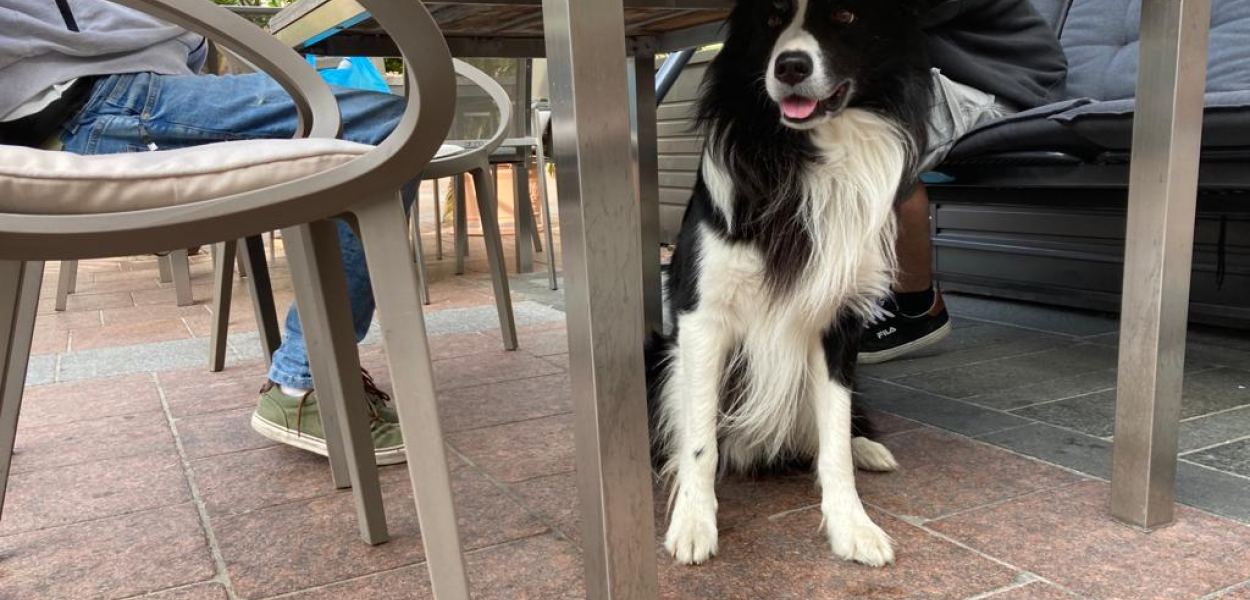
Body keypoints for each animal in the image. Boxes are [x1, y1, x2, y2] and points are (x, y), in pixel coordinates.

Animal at [650, 0, 935, 567]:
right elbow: (699, 439)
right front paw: (693, 521)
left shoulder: (840, 325)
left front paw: (852, 525)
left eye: (845, 16)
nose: (791, 67)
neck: (799, 157)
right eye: (771, 18)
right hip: (661, 358)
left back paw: (867, 446)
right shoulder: (702, 319)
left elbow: (834, 440)